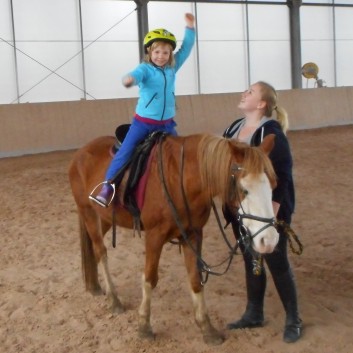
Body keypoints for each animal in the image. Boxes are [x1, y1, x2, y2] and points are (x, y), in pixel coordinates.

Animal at [68, 132, 278, 344]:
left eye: (273, 186)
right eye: (244, 190)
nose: (269, 241)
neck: (182, 179)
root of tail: (81, 152)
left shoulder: (193, 234)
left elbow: (195, 278)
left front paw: (207, 328)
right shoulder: (154, 235)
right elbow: (149, 278)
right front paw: (144, 326)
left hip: (103, 219)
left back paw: (95, 286)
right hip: (88, 213)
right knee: (100, 252)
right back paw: (114, 300)